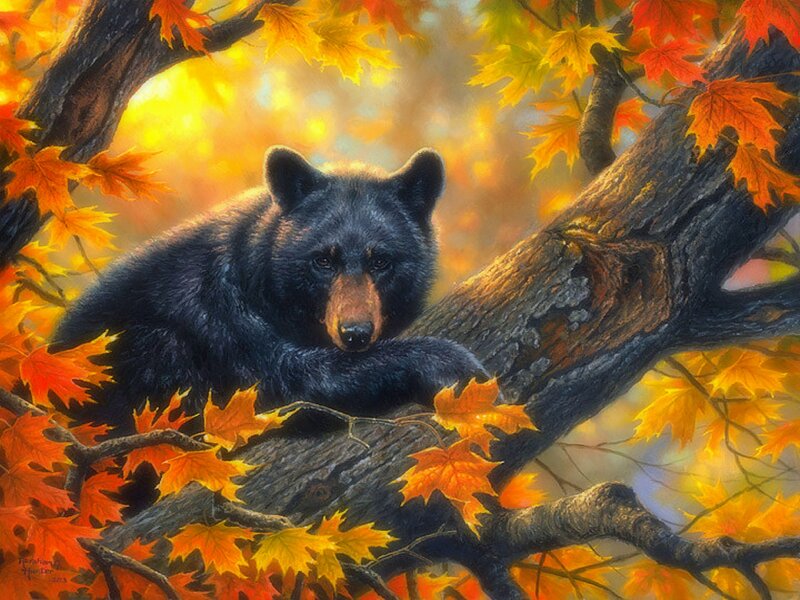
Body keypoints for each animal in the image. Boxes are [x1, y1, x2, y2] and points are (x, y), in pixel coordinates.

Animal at [54, 146, 489, 433]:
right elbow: (292, 381)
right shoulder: (224, 317)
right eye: (323, 260)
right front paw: (452, 363)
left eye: (381, 261)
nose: (355, 333)